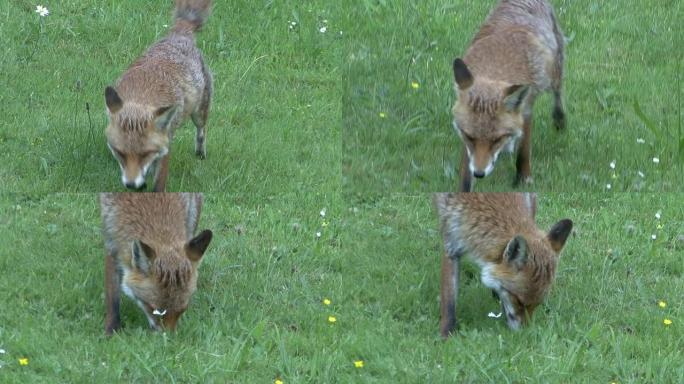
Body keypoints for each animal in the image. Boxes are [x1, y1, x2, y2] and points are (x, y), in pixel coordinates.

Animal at [99, 194, 214, 334]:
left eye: (183, 309)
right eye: (157, 311)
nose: (168, 337)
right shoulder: (111, 242)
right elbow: (112, 296)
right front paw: (111, 329)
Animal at [103, 0, 211, 191]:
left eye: (145, 153)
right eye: (121, 153)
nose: (131, 185)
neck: (142, 96)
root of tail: (180, 34)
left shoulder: (166, 141)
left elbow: (159, 181)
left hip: (199, 113)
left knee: (201, 130)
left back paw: (200, 152)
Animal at [432, 194, 572, 338]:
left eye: (538, 303)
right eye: (519, 301)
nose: (525, 334)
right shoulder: (451, 242)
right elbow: (449, 301)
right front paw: (446, 335)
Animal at [448, 0, 568, 192]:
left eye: (496, 139)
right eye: (470, 137)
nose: (479, 174)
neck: (496, 68)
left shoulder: (525, 109)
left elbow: (524, 150)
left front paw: (524, 178)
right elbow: (466, 174)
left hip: (555, 71)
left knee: (558, 94)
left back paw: (559, 119)